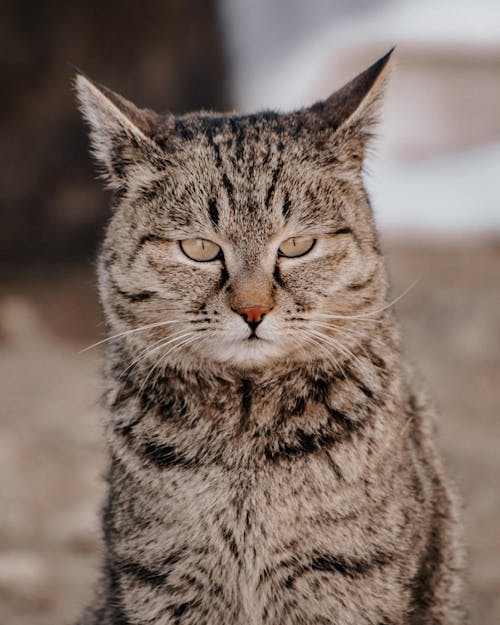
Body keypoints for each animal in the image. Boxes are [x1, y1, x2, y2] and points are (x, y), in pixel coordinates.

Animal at [75, 50, 468, 624]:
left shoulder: (340, 578)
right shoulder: (166, 577)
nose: (253, 310)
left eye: (298, 245)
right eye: (200, 249)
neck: (244, 438)